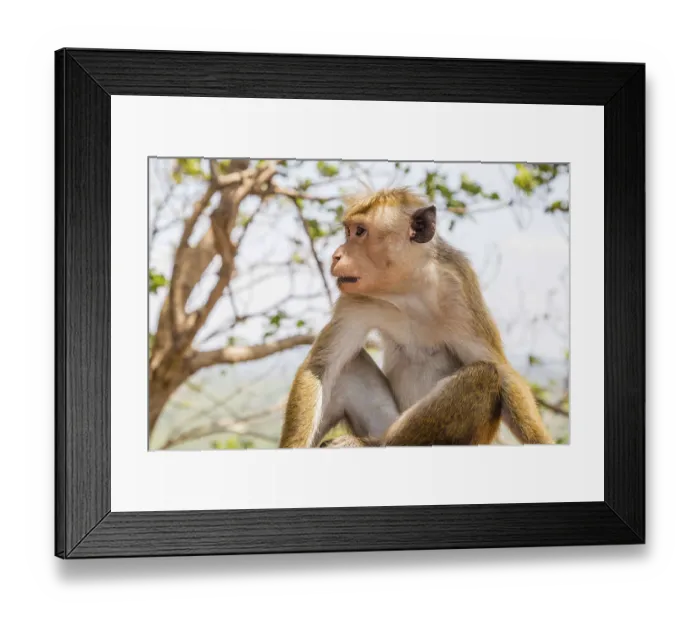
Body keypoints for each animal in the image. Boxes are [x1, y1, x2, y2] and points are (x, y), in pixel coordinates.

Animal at [278, 187, 554, 449]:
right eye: (348, 231)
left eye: (360, 232)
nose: (336, 255)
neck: (408, 291)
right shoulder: (356, 301)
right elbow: (321, 367)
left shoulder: (460, 287)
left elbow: (502, 372)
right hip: (384, 421)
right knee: (349, 364)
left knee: (483, 375)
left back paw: (374, 445)